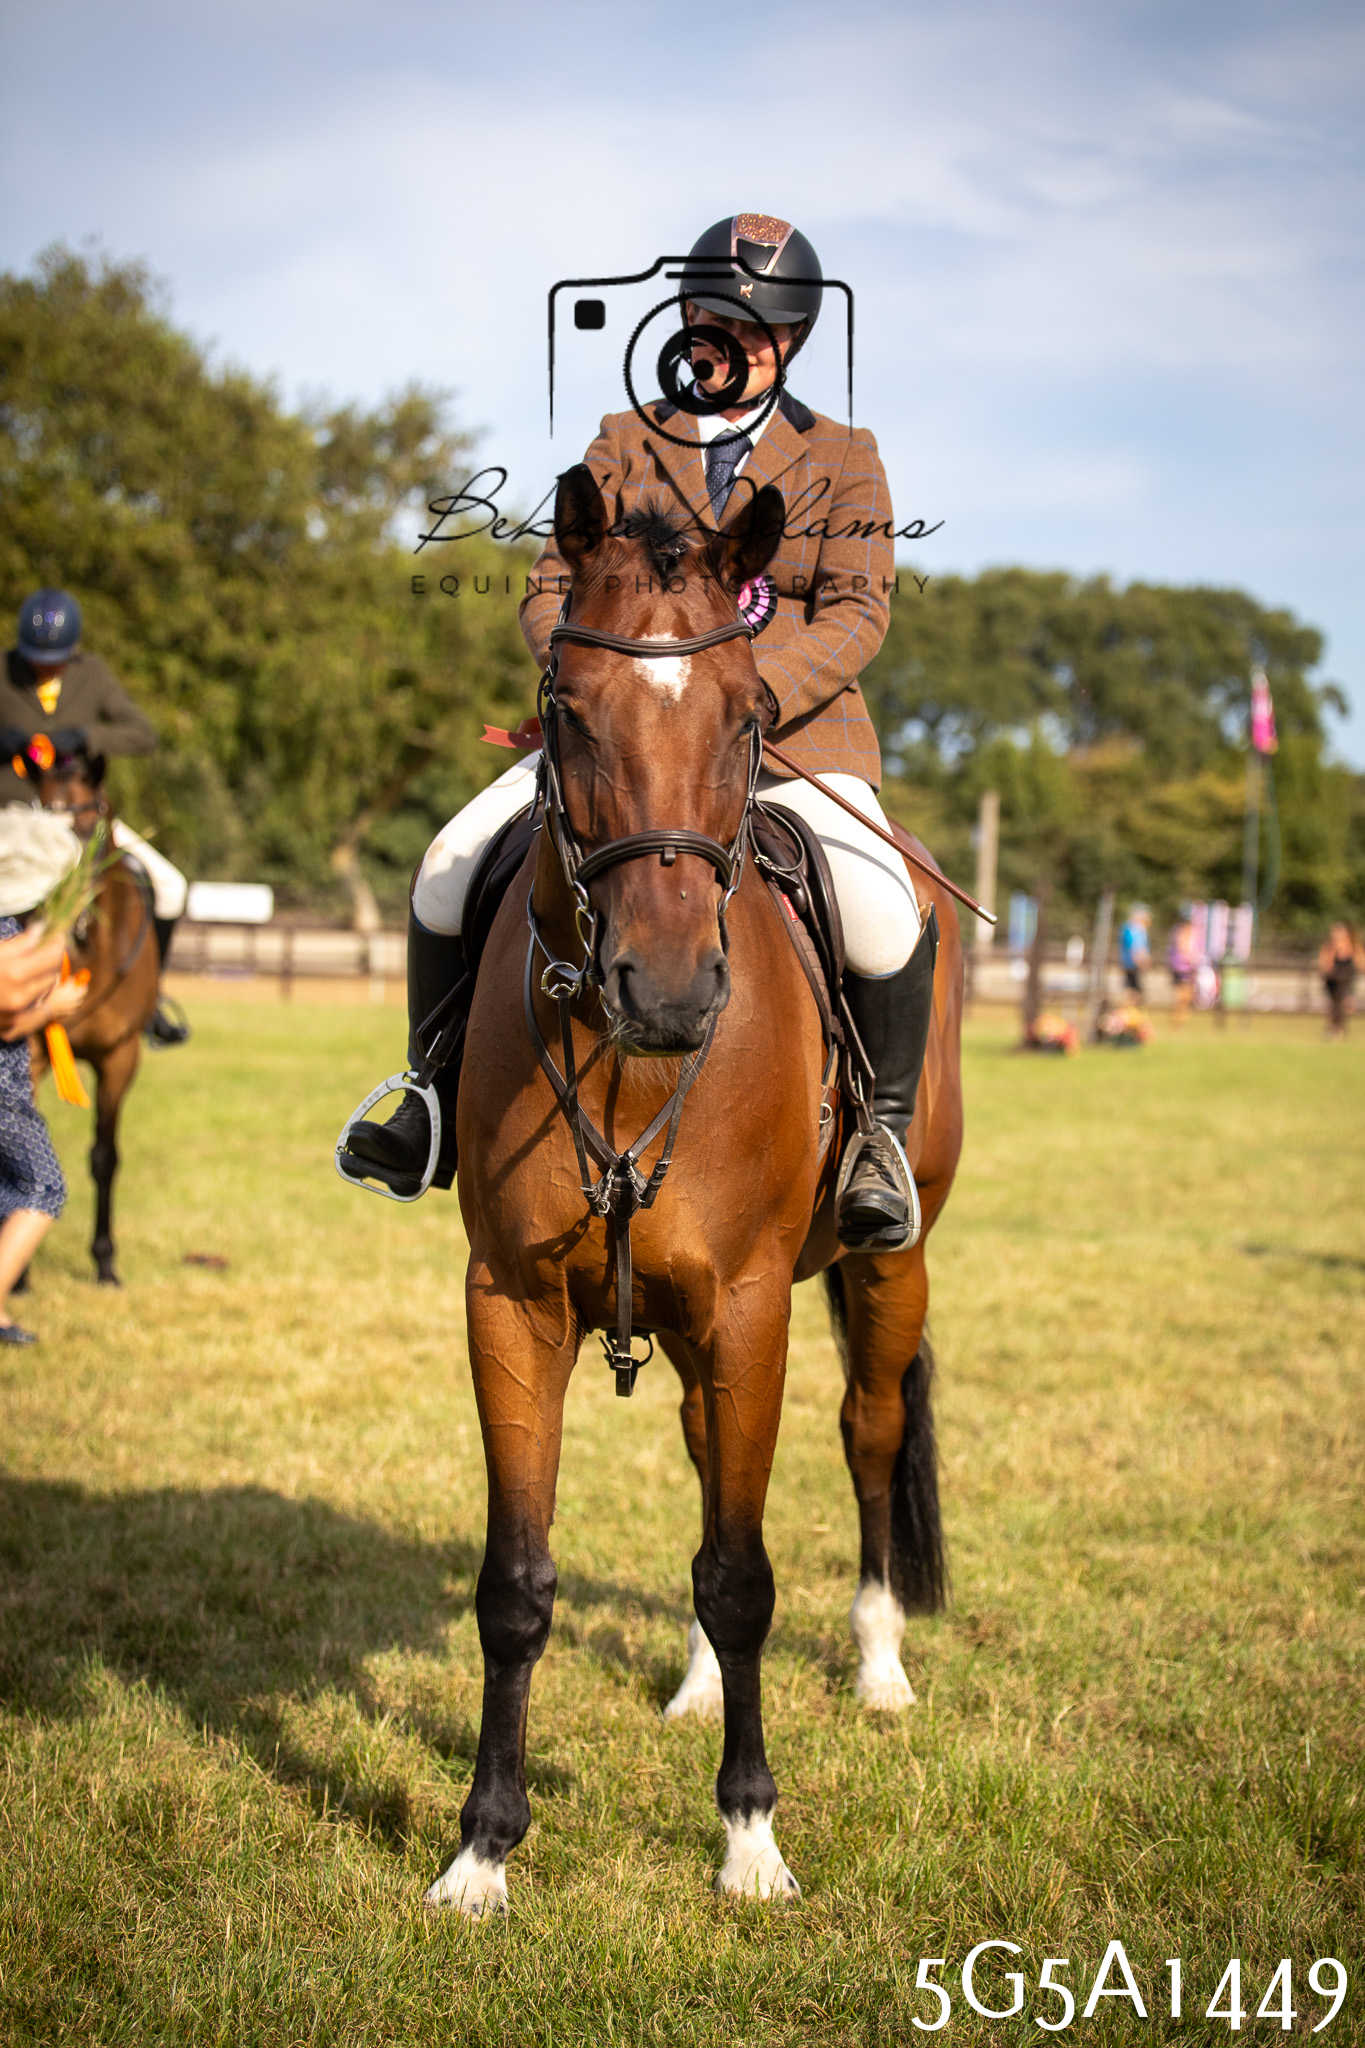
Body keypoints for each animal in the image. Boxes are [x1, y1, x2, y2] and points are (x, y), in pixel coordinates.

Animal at [428, 466, 964, 1914]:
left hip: (883, 1264)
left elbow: (743, 1573)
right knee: (703, 1458)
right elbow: (517, 1581)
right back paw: (695, 1685)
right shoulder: (513, 1305)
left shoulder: (748, 1308)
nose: (667, 994)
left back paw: (880, 1663)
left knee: (867, 1429)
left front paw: (750, 1838)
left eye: (752, 715)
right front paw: (481, 1847)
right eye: (566, 708)